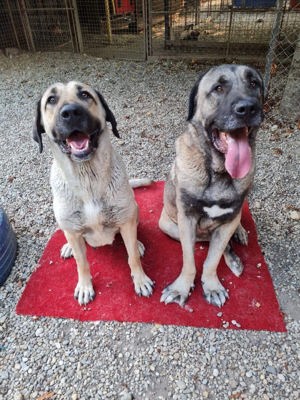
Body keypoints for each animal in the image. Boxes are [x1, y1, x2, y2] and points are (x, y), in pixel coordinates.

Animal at [34, 82, 154, 306]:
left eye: (84, 94)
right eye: (51, 100)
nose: (71, 112)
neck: (87, 178)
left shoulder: (125, 221)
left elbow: (132, 256)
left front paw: (140, 279)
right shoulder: (73, 230)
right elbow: (82, 263)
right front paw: (84, 286)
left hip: (133, 210)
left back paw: (139, 243)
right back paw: (69, 247)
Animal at [158, 64, 264, 308]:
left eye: (254, 83)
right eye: (218, 88)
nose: (248, 108)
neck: (218, 171)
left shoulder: (229, 219)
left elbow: (212, 259)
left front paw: (212, 285)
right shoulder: (187, 219)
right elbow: (189, 260)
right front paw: (181, 288)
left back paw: (239, 237)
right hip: (169, 226)